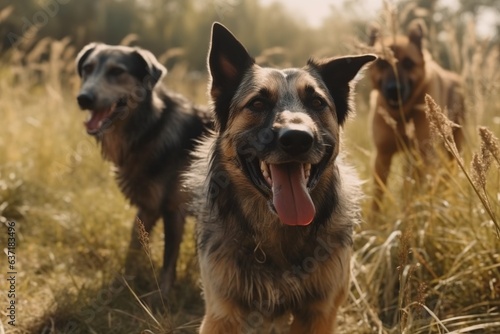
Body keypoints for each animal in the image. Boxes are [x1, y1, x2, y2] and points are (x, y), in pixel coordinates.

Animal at [75, 43, 212, 298]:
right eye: (87, 68)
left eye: (117, 71)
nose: (83, 98)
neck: (150, 127)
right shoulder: (147, 207)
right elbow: (134, 247)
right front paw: (122, 284)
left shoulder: (174, 209)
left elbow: (168, 261)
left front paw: (162, 298)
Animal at [368, 20, 464, 210]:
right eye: (382, 64)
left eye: (408, 63)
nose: (394, 89)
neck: (402, 116)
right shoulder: (382, 157)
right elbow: (377, 198)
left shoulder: (424, 154)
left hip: (451, 150)